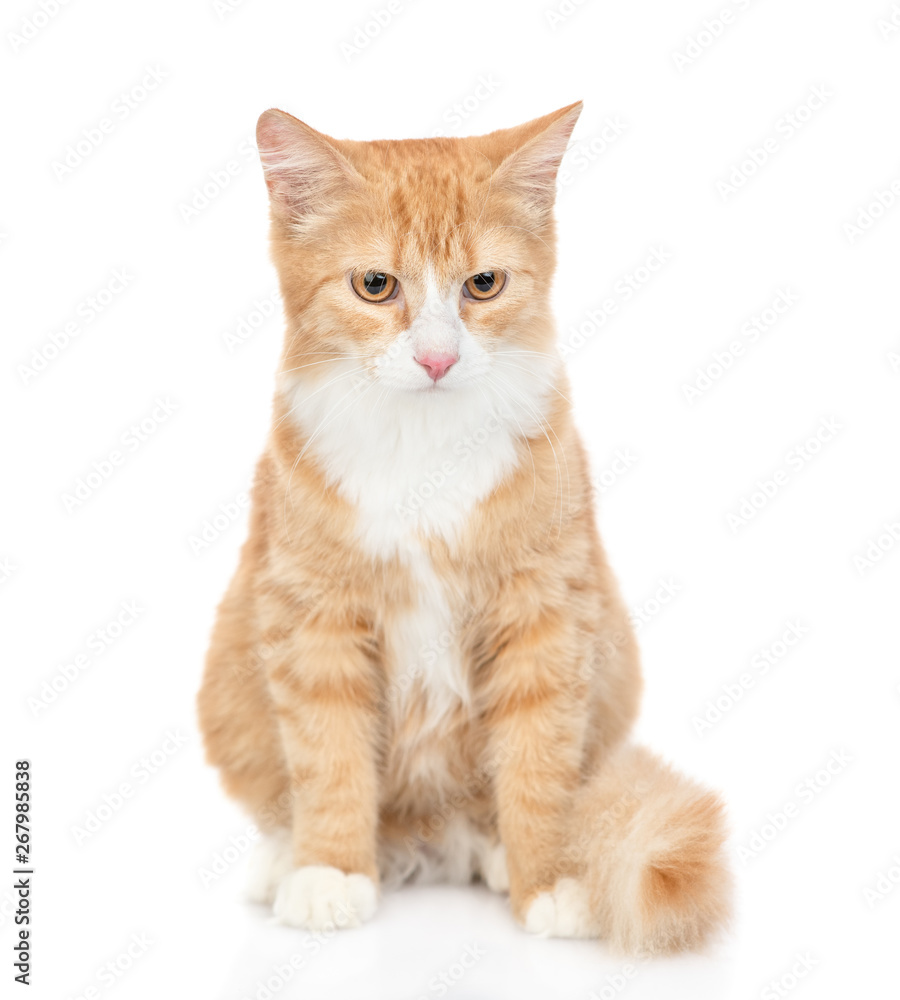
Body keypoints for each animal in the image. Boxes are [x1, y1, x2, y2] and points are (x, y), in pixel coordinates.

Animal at [197, 101, 732, 952]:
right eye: (375, 286)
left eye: (483, 285)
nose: (438, 359)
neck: (422, 448)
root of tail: (428, 833)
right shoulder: (312, 618)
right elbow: (328, 758)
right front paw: (330, 871)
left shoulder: (547, 613)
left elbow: (539, 765)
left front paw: (550, 877)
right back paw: (286, 861)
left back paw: (496, 852)